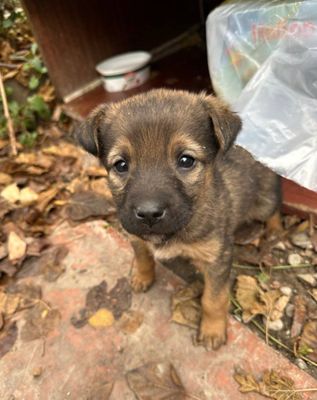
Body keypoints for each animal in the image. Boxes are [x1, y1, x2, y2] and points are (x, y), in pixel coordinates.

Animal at [76, 90, 278, 350]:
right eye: (121, 165)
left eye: (186, 160)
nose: (149, 213)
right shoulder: (135, 235)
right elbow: (143, 258)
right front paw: (142, 278)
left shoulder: (218, 257)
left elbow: (213, 299)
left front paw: (212, 330)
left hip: (263, 204)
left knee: (275, 210)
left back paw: (274, 231)